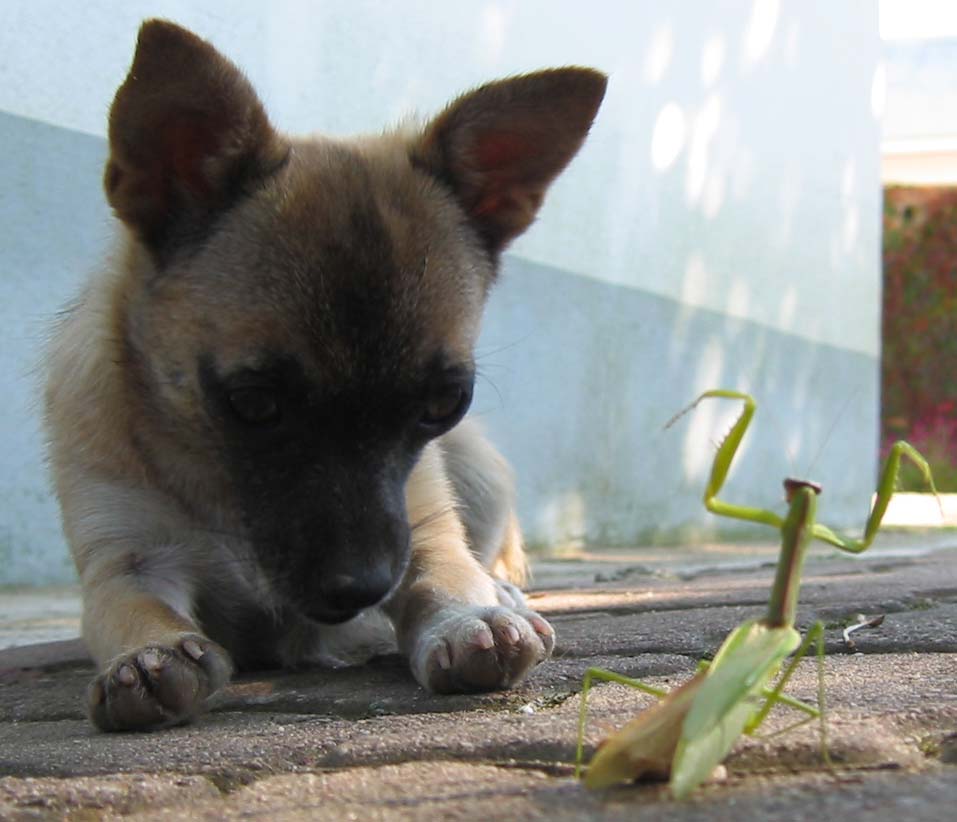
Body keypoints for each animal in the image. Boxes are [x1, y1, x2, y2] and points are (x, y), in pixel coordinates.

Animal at [43, 19, 604, 732]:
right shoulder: (127, 562)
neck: (219, 487)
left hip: (477, 470)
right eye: (254, 403)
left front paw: (470, 615)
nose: (360, 587)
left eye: (444, 403)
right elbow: (132, 607)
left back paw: (502, 590)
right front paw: (146, 655)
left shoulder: (418, 526)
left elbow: (439, 570)